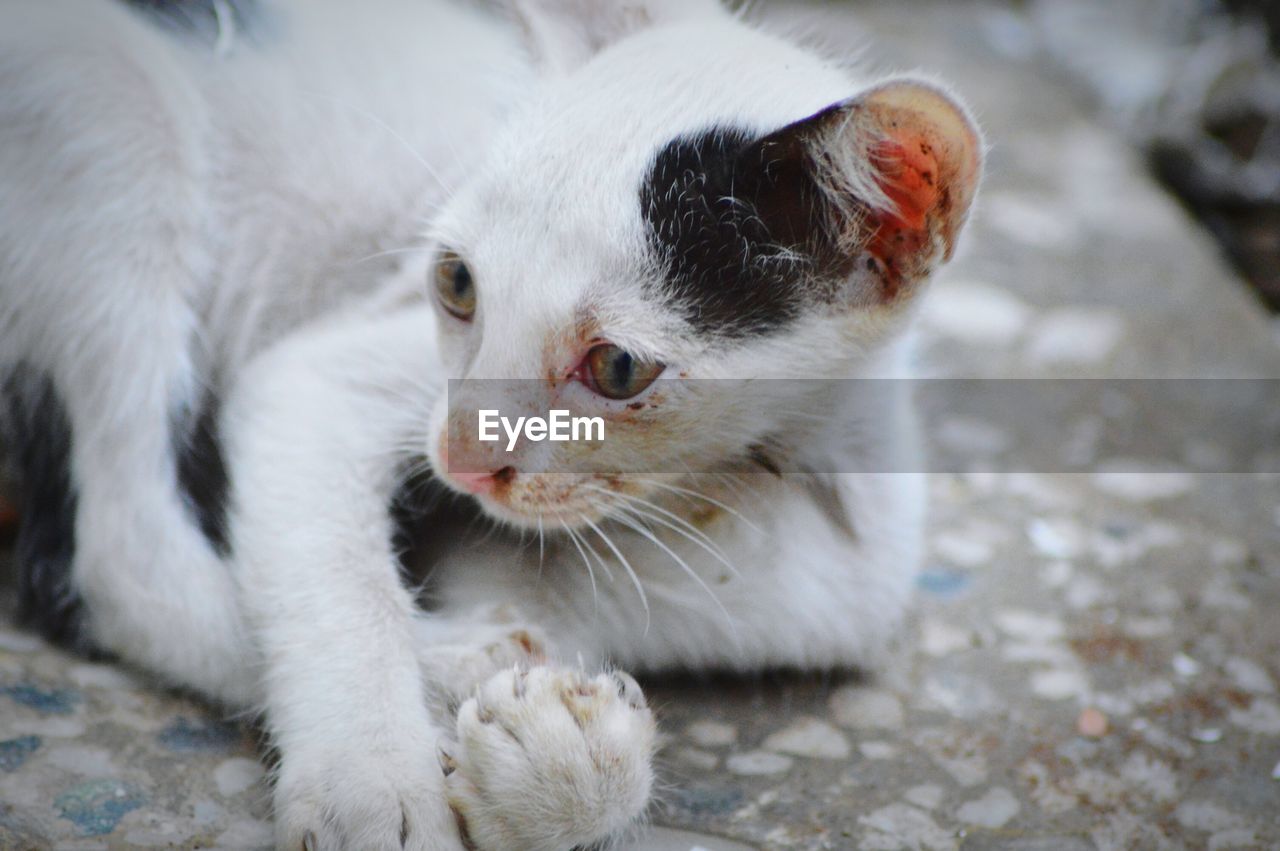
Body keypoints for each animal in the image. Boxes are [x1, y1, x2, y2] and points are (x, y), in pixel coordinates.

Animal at [0, 0, 983, 844]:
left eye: (618, 369)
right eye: (457, 282)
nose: (460, 459)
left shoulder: (856, 546)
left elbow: (765, 588)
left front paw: (558, 755)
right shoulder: (326, 375)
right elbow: (334, 578)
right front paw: (373, 781)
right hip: (109, 112)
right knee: (116, 554)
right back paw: (451, 665)